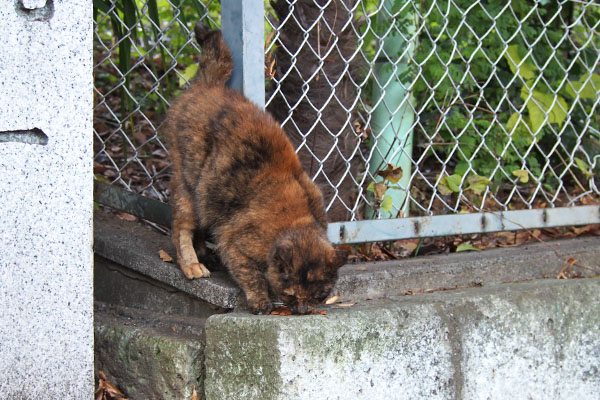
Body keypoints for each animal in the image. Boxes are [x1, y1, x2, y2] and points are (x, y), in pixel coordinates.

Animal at [164, 23, 346, 314]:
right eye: (291, 294)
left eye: (319, 295)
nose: (303, 310)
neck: (299, 221)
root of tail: (208, 85)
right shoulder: (234, 243)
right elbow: (251, 274)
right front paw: (260, 300)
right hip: (187, 185)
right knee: (181, 228)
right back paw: (193, 265)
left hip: (207, 197)